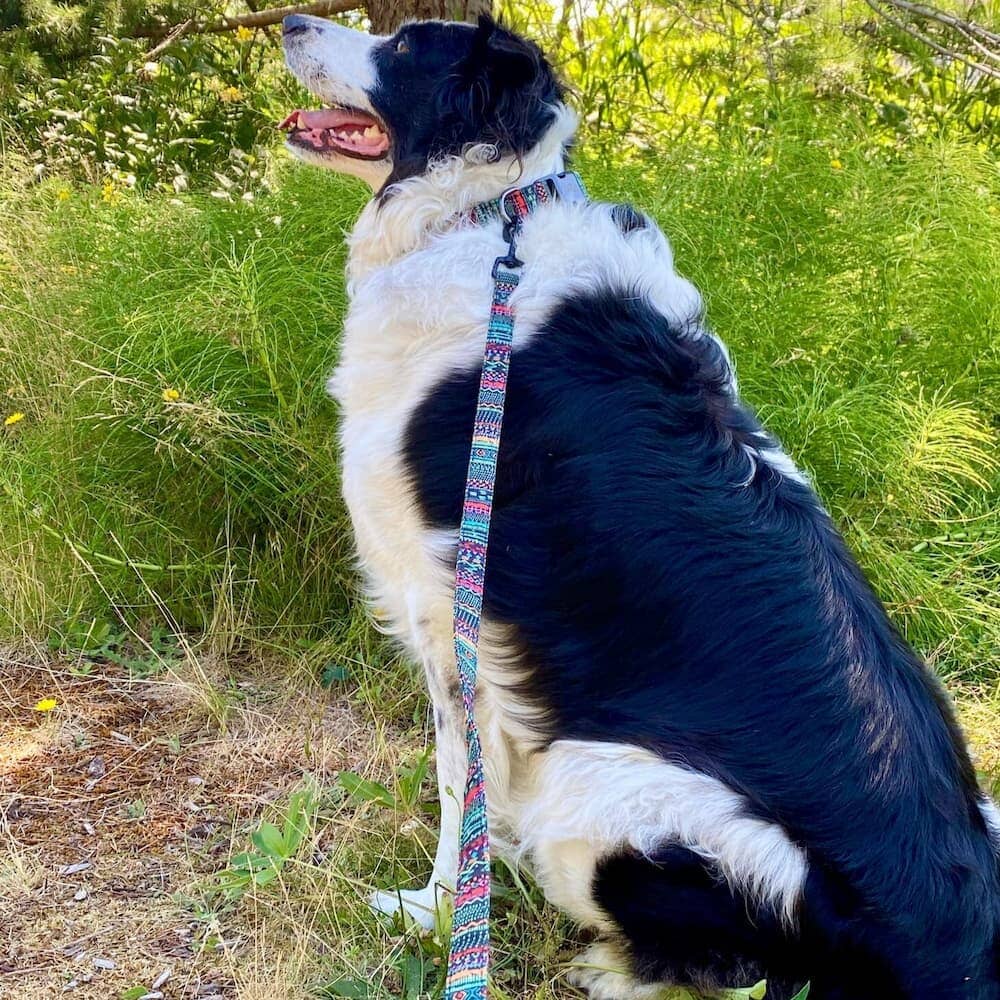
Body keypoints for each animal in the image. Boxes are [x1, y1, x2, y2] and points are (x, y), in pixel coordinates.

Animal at [280, 11, 1000, 996]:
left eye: (403, 48)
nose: (286, 21)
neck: (491, 216)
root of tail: (954, 938)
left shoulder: (447, 610)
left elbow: (456, 788)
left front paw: (434, 915)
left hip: (600, 781)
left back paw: (608, 968)